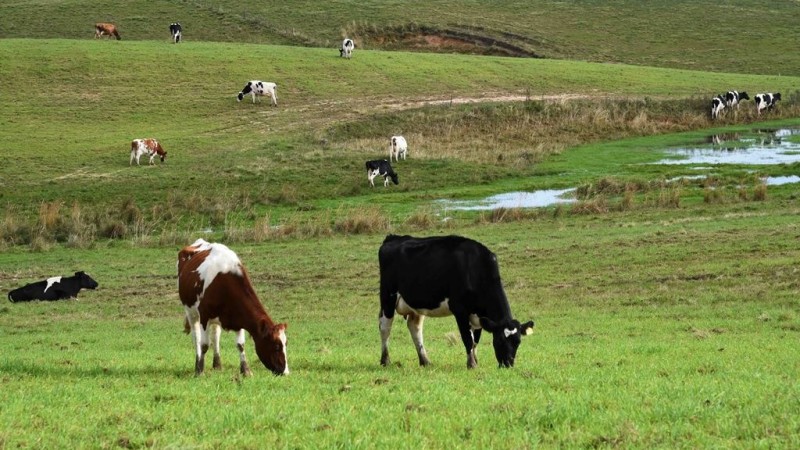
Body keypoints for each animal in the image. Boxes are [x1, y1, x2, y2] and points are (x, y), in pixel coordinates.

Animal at [177, 239, 288, 376]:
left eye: (286, 344)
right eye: (276, 346)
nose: (286, 372)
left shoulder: (238, 318)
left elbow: (240, 345)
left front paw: (246, 370)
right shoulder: (204, 316)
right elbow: (204, 345)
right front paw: (200, 371)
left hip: (214, 319)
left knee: (215, 336)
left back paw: (217, 364)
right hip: (191, 312)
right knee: (196, 337)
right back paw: (198, 363)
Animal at [376, 236, 536, 370]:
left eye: (518, 342)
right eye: (500, 340)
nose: (508, 364)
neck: (474, 268)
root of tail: (393, 237)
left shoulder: (478, 315)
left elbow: (475, 340)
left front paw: (475, 360)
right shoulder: (460, 310)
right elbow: (467, 339)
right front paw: (471, 364)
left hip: (417, 305)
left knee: (415, 327)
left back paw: (425, 361)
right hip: (388, 297)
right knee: (385, 327)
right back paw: (385, 361)